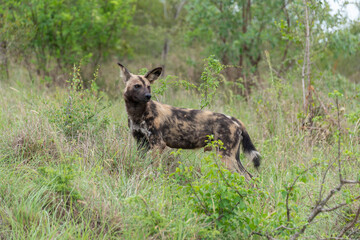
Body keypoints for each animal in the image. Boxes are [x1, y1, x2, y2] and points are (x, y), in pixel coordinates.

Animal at [119, 62, 260, 179]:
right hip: (233, 157)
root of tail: (233, 119)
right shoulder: (141, 143)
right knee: (250, 177)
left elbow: (154, 168)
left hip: (226, 157)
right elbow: (141, 163)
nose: (148, 96)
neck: (137, 113)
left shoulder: (157, 144)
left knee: (245, 177)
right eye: (137, 86)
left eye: (148, 86)